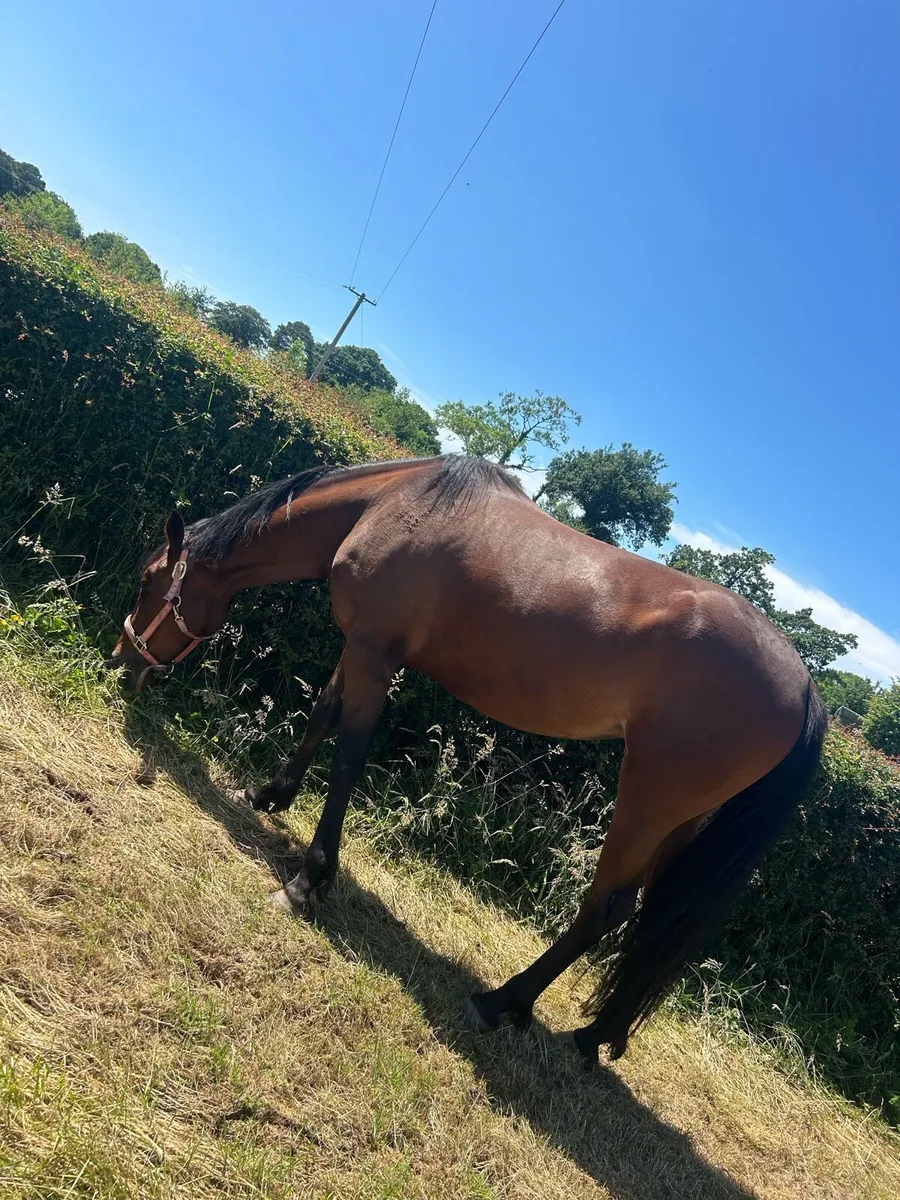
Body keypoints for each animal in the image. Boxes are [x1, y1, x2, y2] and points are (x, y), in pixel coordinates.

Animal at [106, 454, 826, 1064]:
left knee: (607, 908)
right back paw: (598, 1033)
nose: (122, 663)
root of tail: (802, 685)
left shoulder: (373, 651)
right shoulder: (363, 646)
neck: (395, 503)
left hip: (649, 798)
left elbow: (347, 758)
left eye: (147, 582)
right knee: (657, 919)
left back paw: (500, 1001)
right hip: (682, 818)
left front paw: (308, 880)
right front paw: (267, 795)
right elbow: (321, 714)